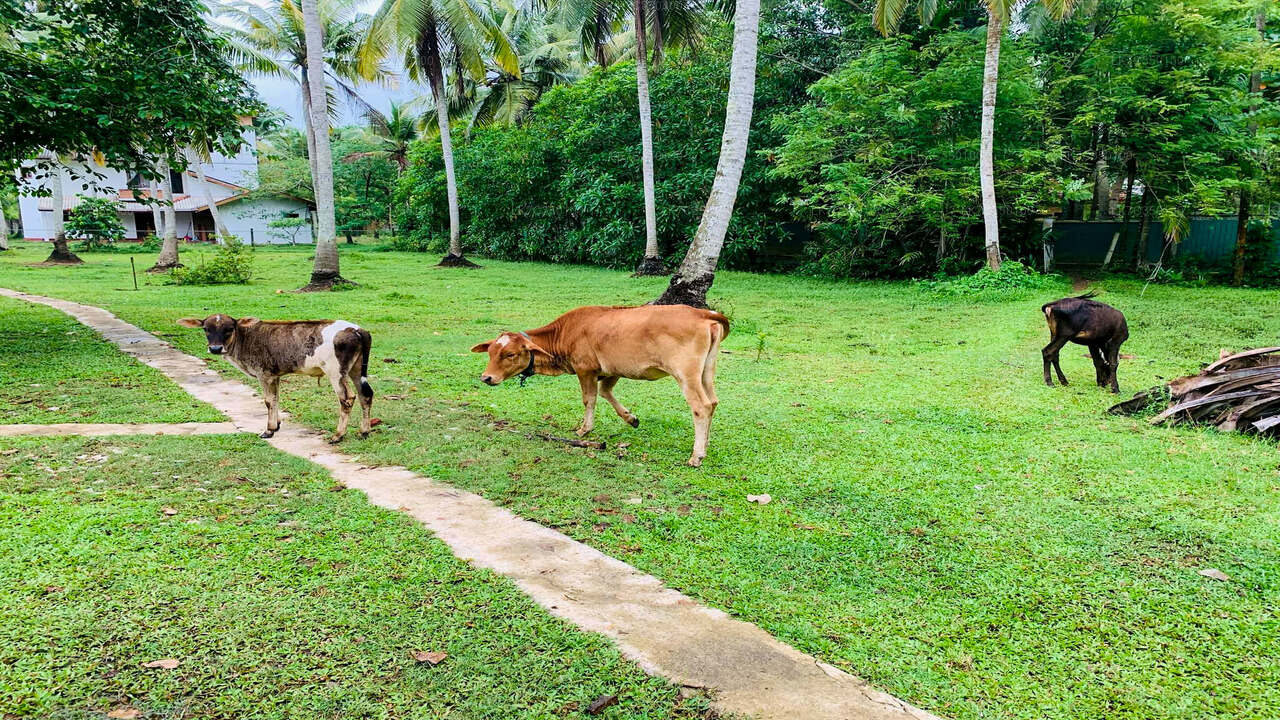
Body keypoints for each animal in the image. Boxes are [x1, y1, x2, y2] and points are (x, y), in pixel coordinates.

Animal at [177, 312, 373, 440]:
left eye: (229, 328)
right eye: (206, 329)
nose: (215, 348)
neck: (245, 338)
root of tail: (356, 329)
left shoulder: (264, 374)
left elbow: (268, 400)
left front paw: (269, 430)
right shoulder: (275, 375)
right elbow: (276, 398)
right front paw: (277, 424)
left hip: (336, 372)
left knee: (347, 398)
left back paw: (338, 435)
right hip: (356, 369)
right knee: (365, 394)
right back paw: (364, 431)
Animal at [471, 303, 732, 466]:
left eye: (511, 354)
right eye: (491, 352)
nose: (487, 377)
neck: (564, 333)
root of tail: (702, 314)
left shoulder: (585, 369)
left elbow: (590, 398)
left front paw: (585, 429)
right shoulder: (612, 369)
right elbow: (606, 392)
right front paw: (630, 418)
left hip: (685, 374)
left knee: (701, 407)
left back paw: (697, 455)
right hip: (706, 372)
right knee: (713, 402)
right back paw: (705, 444)